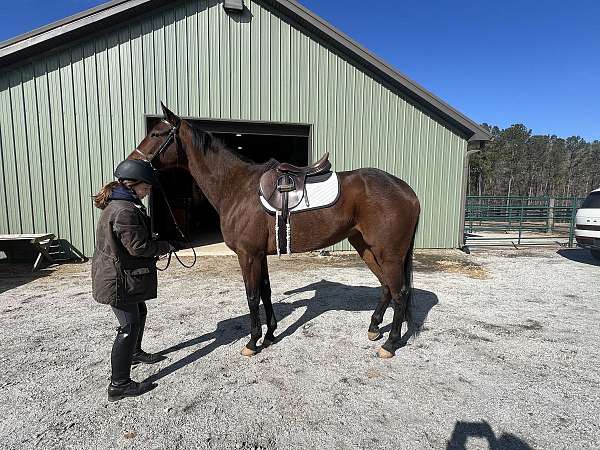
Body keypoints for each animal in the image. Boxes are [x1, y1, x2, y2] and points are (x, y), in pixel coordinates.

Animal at [130, 103, 422, 358]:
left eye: (156, 134)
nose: (129, 169)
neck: (236, 187)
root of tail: (408, 191)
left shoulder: (247, 255)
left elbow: (252, 296)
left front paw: (252, 342)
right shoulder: (260, 255)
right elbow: (266, 292)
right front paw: (270, 335)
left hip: (388, 254)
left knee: (400, 293)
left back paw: (390, 344)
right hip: (366, 247)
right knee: (386, 286)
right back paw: (374, 328)